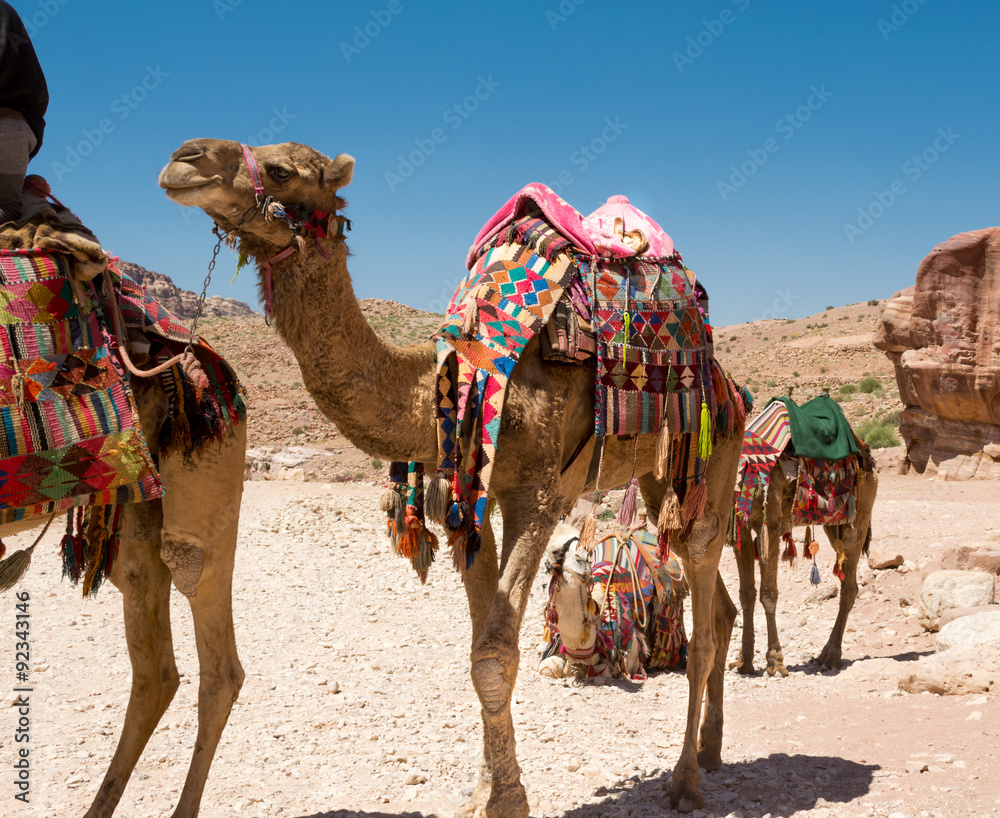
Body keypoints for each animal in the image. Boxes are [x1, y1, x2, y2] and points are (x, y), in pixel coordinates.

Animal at [160, 138, 744, 816]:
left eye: (281, 169)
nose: (184, 158)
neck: (455, 376)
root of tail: (731, 387)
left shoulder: (537, 494)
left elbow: (494, 655)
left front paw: (506, 801)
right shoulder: (471, 504)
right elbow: (478, 647)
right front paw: (488, 788)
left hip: (715, 453)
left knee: (702, 614)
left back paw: (686, 780)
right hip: (657, 476)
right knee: (718, 604)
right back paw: (711, 749)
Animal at [731, 394, 878, 677]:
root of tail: (867, 453)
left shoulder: (771, 523)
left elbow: (768, 593)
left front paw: (775, 661)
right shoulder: (740, 527)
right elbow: (746, 594)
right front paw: (744, 662)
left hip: (861, 512)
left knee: (850, 584)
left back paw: (829, 656)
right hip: (834, 524)